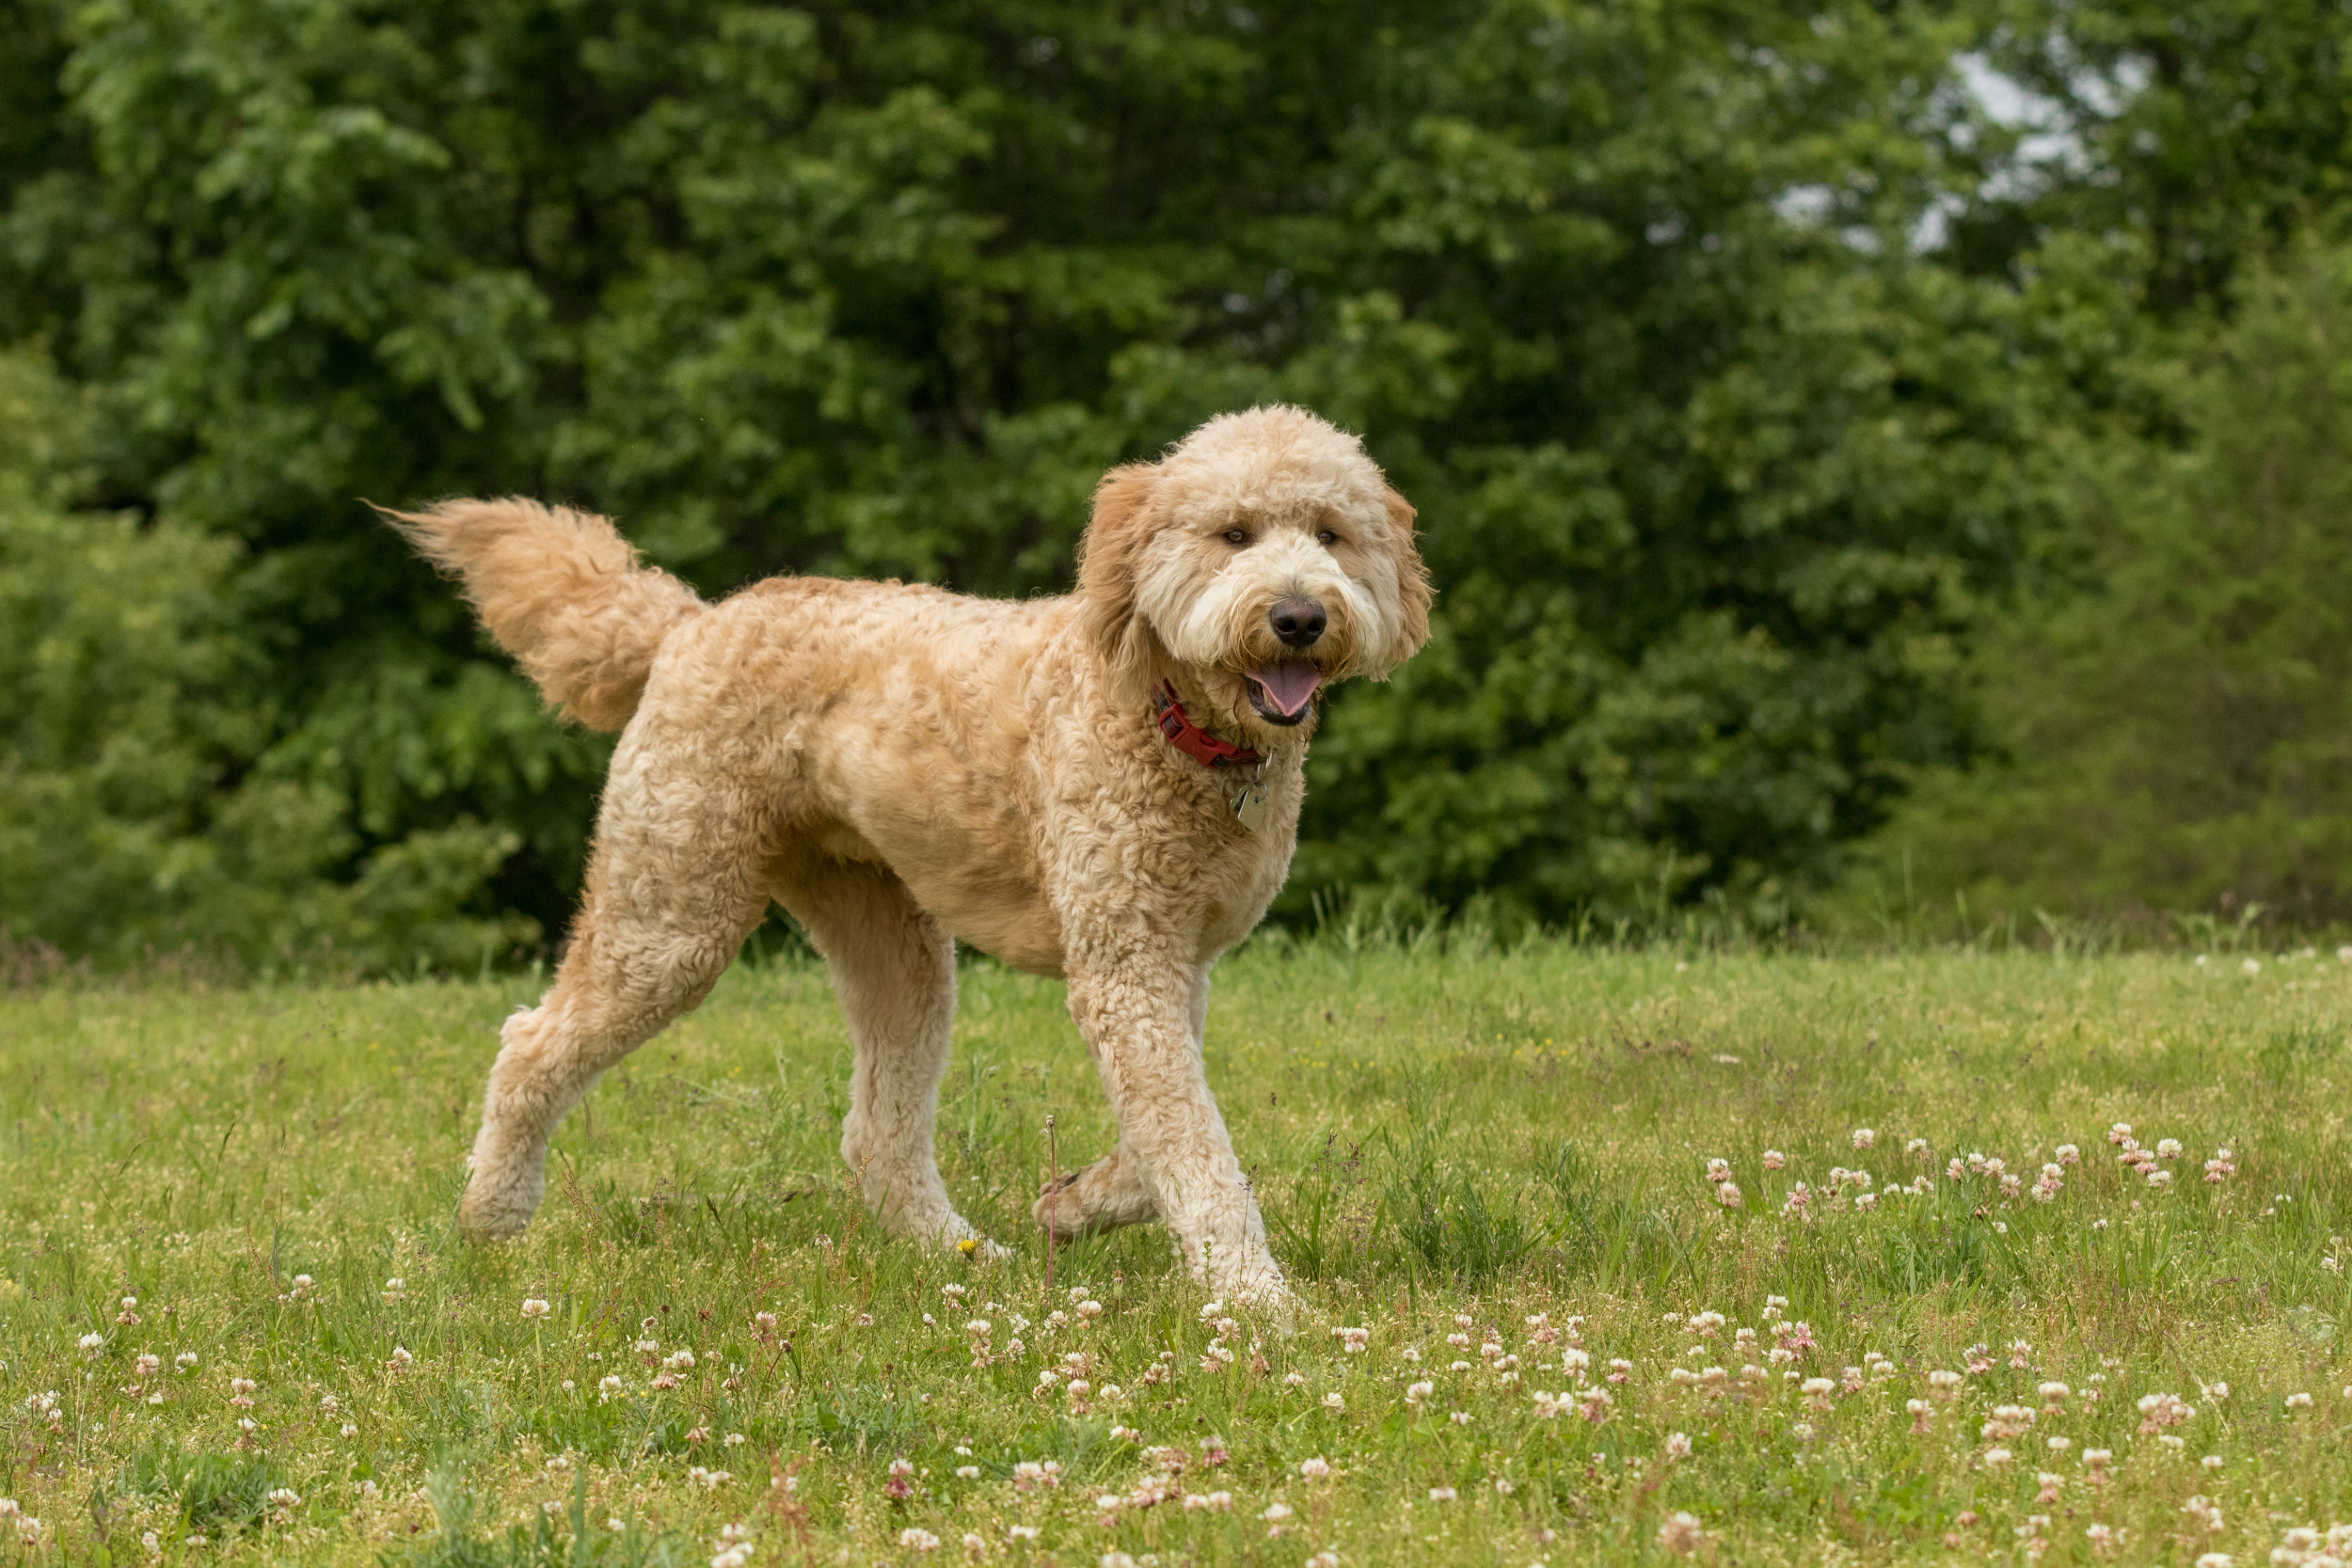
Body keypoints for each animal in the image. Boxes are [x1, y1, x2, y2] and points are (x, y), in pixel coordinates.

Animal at [392, 408, 1421, 1297]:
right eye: (1233, 533)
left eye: (1331, 533)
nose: (1298, 616)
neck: (1167, 717)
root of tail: (687, 622)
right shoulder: (1127, 967)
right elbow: (1196, 1147)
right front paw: (1260, 1304)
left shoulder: (1170, 960)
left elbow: (1171, 1130)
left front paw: (1077, 1202)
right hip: (672, 910)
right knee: (530, 1042)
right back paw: (491, 1218)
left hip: (891, 939)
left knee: (875, 1133)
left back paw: (959, 1251)